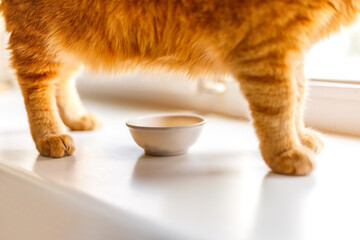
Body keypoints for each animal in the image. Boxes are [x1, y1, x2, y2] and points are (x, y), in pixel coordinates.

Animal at [1, 0, 358, 175]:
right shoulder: (267, 46)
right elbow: (281, 105)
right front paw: (285, 152)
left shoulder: (291, 48)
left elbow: (298, 94)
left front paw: (300, 137)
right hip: (40, 34)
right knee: (37, 85)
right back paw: (50, 134)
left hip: (75, 34)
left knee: (62, 78)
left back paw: (76, 118)